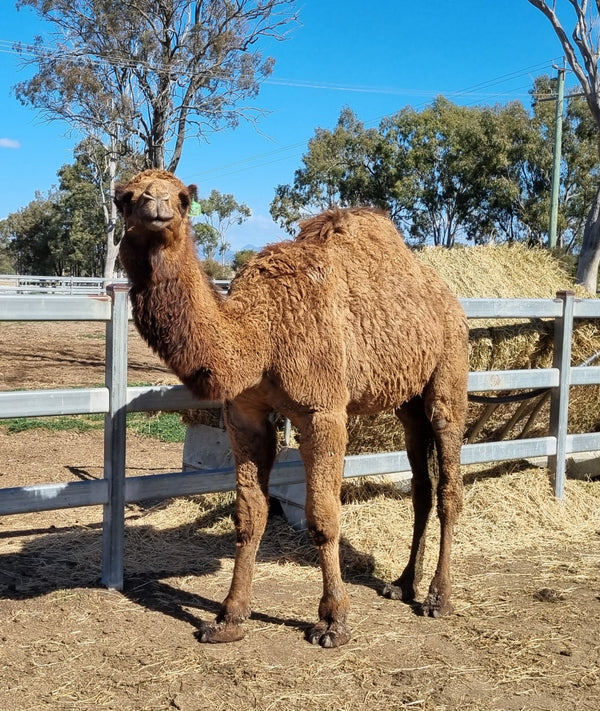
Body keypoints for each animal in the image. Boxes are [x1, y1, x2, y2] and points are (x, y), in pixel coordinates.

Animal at [115, 169, 469, 648]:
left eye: (184, 198)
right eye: (126, 197)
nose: (157, 204)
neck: (260, 332)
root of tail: (448, 297)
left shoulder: (323, 412)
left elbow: (323, 517)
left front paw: (333, 621)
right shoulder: (242, 414)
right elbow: (249, 515)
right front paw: (228, 619)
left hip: (449, 370)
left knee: (449, 478)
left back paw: (437, 597)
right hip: (407, 399)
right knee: (421, 485)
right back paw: (402, 583)